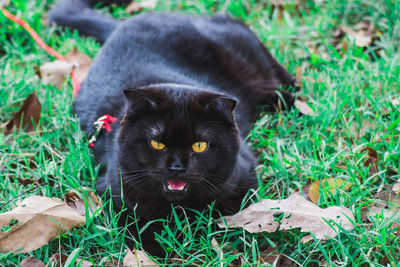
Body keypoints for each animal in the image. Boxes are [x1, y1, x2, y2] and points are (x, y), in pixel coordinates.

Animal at [49, 0, 296, 256]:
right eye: (157, 143)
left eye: (200, 145)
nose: (176, 167)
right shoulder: (114, 192)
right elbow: (137, 230)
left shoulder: (245, 179)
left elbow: (220, 215)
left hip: (247, 53)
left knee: (278, 74)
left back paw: (288, 99)